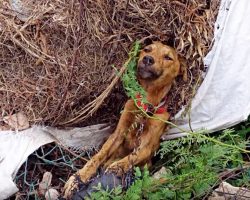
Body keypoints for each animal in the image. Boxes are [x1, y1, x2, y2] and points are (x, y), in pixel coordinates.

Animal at [63, 41, 183, 198]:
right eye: (147, 49)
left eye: (168, 57)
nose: (148, 59)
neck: (145, 105)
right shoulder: (118, 133)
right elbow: (99, 156)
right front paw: (80, 177)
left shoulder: (148, 147)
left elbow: (133, 156)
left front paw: (117, 167)